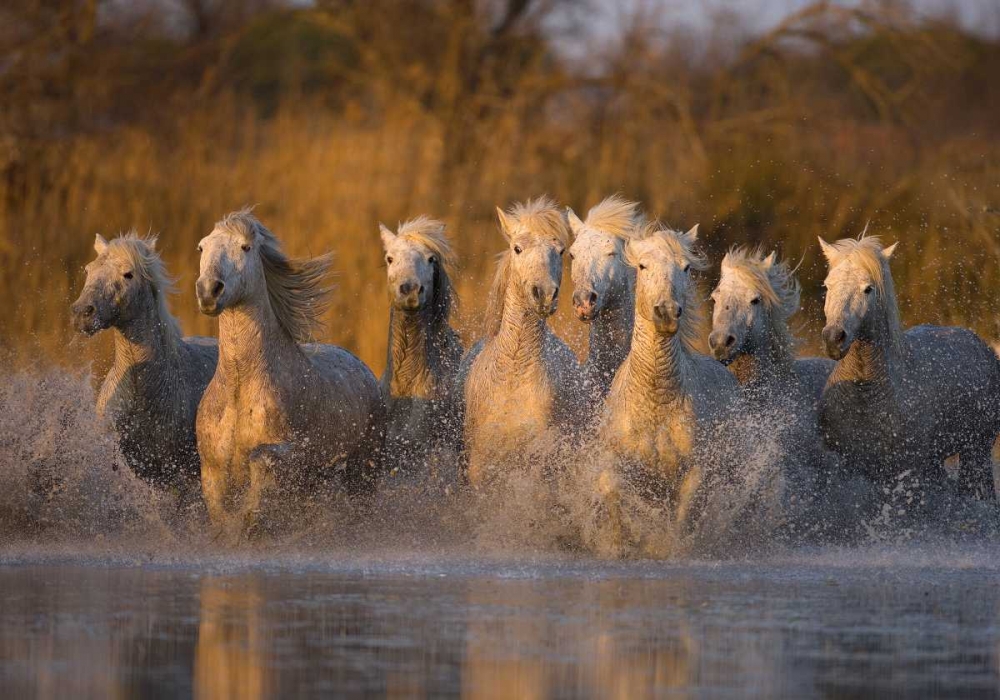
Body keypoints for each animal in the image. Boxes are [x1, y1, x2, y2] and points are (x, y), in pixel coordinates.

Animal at [195, 209, 383, 538]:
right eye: (202, 247)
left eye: (245, 247)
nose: (208, 291)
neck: (240, 385)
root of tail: (363, 368)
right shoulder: (212, 470)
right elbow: (221, 516)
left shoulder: (291, 455)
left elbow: (261, 462)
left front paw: (249, 519)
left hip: (363, 471)